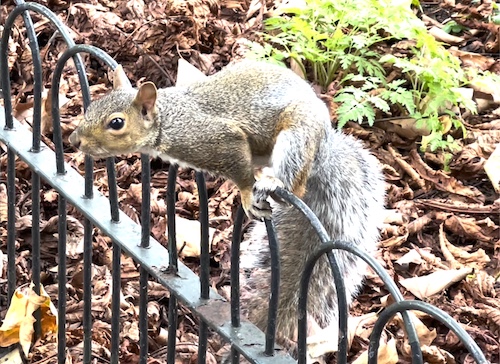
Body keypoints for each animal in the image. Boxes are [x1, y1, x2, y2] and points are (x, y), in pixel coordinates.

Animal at [68, 59, 384, 358]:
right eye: (92, 106)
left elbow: (240, 169)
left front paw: (244, 193)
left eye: (116, 123)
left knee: (293, 185)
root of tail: (325, 145)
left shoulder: (219, 140)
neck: (168, 120)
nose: (74, 140)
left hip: (298, 133)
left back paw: (272, 182)